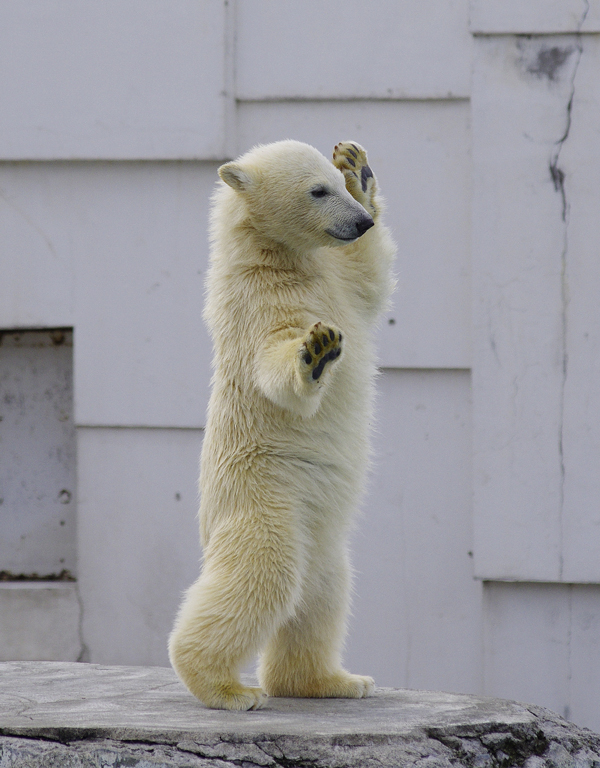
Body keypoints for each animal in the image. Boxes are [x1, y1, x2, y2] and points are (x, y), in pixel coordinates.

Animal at [166, 140, 396, 712]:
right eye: (316, 191)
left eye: (334, 184)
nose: (359, 221)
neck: (275, 257)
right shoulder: (258, 306)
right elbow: (276, 367)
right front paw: (316, 350)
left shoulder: (335, 280)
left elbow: (371, 279)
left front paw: (360, 168)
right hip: (266, 496)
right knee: (263, 577)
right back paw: (227, 688)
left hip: (321, 530)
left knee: (321, 596)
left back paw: (334, 681)